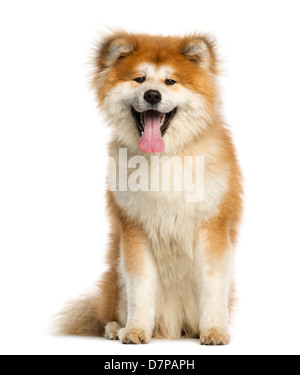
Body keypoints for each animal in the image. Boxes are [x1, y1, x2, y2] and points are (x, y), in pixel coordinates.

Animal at [55, 31, 244, 346]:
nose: (152, 95)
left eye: (170, 81)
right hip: (115, 277)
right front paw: (135, 330)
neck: (163, 157)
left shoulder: (213, 228)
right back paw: (115, 328)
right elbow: (140, 287)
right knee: (110, 311)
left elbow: (212, 283)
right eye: (139, 79)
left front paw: (215, 331)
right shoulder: (134, 230)